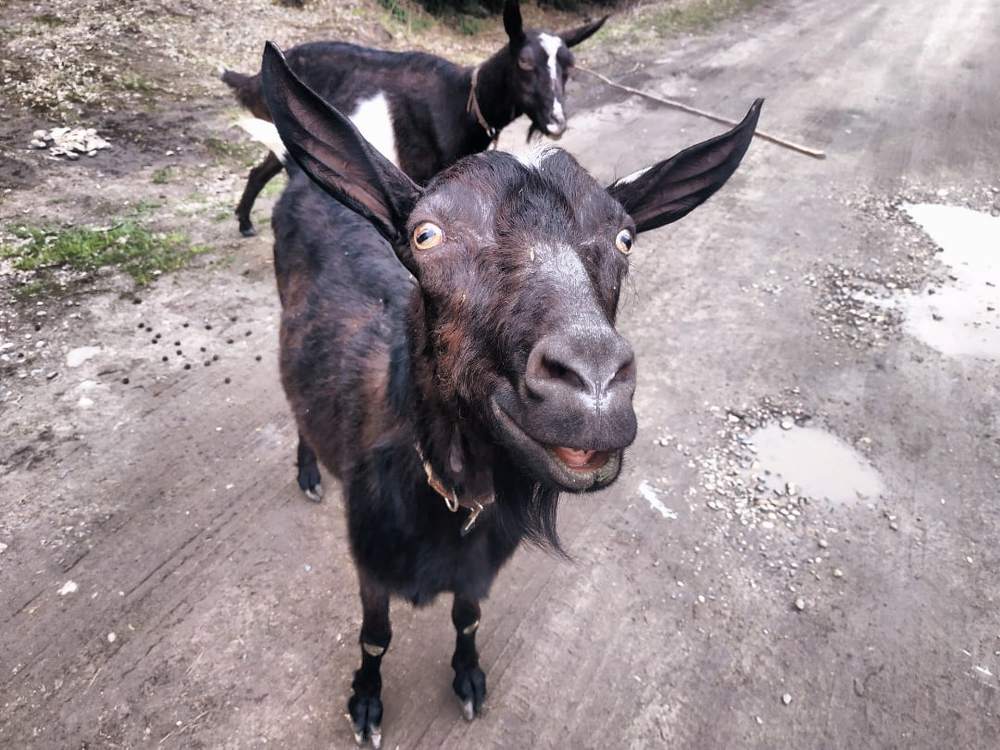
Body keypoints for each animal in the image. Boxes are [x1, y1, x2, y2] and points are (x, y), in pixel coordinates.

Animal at [221, 0, 607, 236]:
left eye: (570, 66)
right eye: (525, 63)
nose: (556, 122)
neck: (461, 102)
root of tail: (254, 80)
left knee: (262, 169)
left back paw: (244, 222)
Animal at [261, 40, 761, 747]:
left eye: (625, 238)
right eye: (425, 235)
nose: (593, 383)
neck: (448, 499)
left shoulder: (481, 566)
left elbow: (467, 618)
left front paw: (469, 679)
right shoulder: (369, 559)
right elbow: (376, 637)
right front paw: (365, 703)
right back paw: (308, 471)